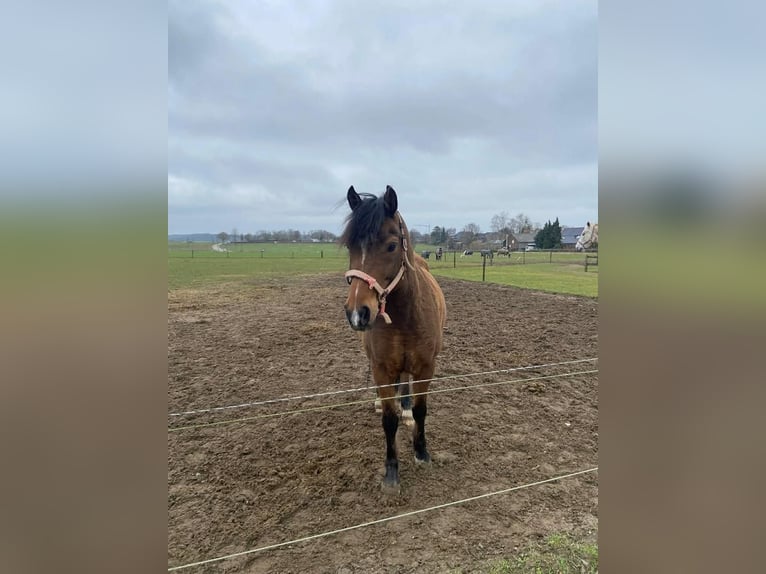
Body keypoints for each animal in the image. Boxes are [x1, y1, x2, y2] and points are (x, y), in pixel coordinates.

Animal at [341, 185, 447, 492]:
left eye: (391, 246)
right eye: (350, 246)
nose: (358, 312)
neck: (404, 317)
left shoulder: (426, 366)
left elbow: (422, 410)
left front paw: (421, 452)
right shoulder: (382, 368)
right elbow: (389, 420)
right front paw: (391, 472)